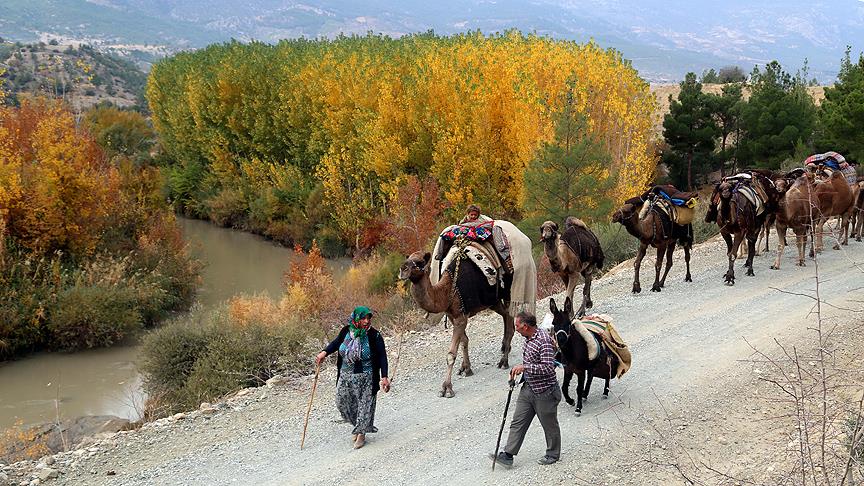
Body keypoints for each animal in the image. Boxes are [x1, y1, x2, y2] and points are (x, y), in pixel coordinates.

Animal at [398, 222, 532, 396]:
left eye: (420, 262)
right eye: (408, 260)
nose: (403, 269)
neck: (448, 289)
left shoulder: (461, 316)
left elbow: (451, 354)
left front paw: (447, 388)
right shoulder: (454, 315)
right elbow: (464, 341)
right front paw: (466, 368)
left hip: (508, 289)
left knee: (509, 317)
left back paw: (503, 360)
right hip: (492, 299)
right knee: (505, 315)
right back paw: (504, 349)